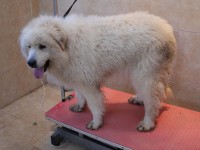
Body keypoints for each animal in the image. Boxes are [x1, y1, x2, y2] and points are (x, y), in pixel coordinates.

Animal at [19, 11, 177, 131]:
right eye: (29, 47)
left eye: (42, 46)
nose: (30, 63)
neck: (68, 47)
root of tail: (167, 29)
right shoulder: (78, 80)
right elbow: (79, 95)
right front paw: (80, 106)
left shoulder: (89, 85)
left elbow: (95, 106)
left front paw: (96, 123)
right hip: (139, 74)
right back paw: (139, 99)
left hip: (145, 75)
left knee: (153, 101)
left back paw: (148, 123)